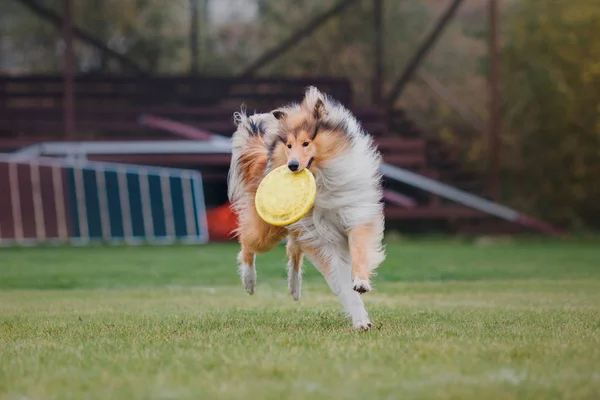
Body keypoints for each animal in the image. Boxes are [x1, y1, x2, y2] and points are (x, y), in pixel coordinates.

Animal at [227, 86, 386, 330]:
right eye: (288, 145)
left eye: (306, 143)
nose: (292, 166)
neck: (322, 180)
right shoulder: (323, 237)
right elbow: (341, 277)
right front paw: (360, 320)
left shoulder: (355, 214)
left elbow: (359, 250)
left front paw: (361, 283)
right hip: (267, 231)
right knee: (247, 244)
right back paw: (249, 282)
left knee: (293, 250)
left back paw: (294, 288)